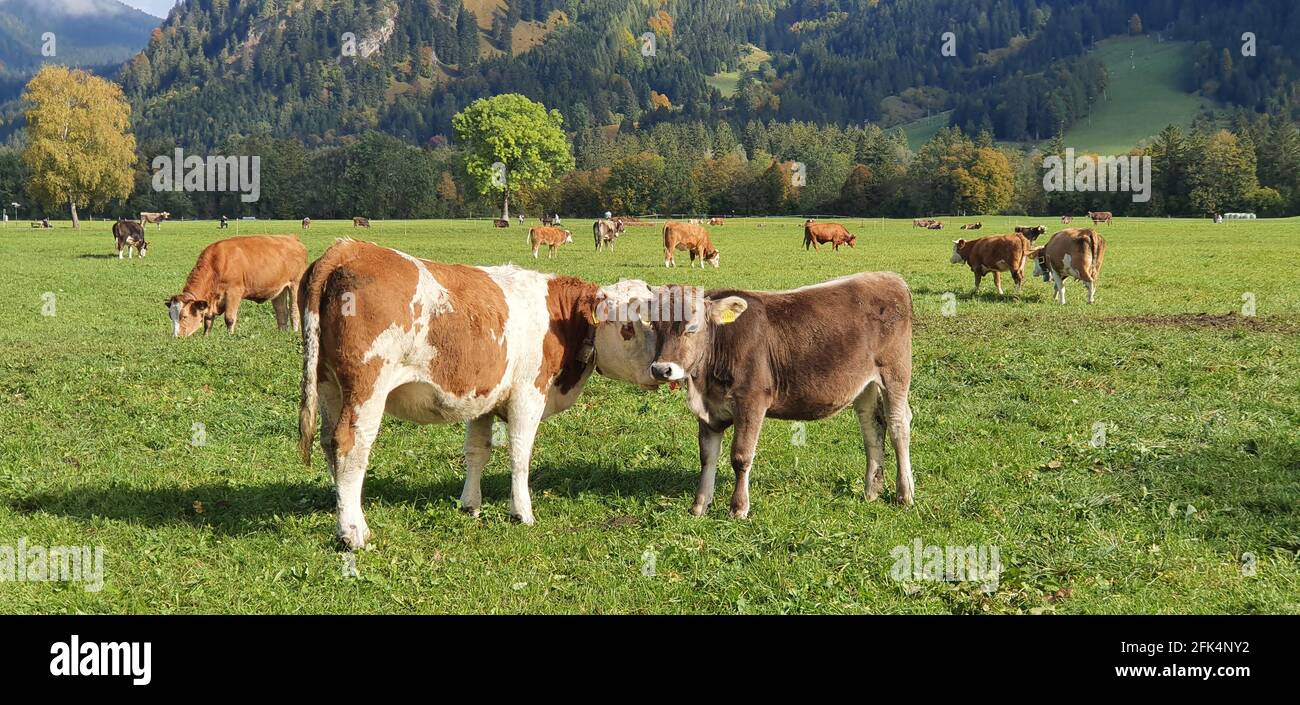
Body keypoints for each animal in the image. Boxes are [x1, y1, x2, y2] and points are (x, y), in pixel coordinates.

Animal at [166, 236, 308, 338]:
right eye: (170, 316)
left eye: (184, 316)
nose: (175, 337)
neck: (217, 263)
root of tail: (292, 238)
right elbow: (208, 319)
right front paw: (206, 337)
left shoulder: (234, 292)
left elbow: (229, 318)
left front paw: (230, 337)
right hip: (279, 289)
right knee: (281, 312)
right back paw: (281, 333)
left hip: (295, 283)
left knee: (294, 310)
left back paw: (294, 332)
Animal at [295, 240, 660, 548]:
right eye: (627, 326)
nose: (659, 370)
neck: (559, 318)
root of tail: (346, 248)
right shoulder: (528, 394)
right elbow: (519, 454)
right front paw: (522, 512)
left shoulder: (483, 398)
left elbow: (476, 452)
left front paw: (469, 505)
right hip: (367, 387)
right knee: (350, 446)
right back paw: (352, 531)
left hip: (328, 385)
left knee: (329, 443)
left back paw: (346, 512)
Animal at [642, 273, 915, 517]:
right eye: (654, 325)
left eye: (692, 327)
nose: (661, 369)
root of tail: (889, 277)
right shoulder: (709, 411)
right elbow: (707, 457)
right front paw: (699, 505)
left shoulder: (751, 402)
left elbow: (741, 456)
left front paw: (738, 508)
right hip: (864, 383)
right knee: (872, 426)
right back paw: (872, 490)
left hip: (895, 372)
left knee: (898, 425)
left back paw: (905, 493)